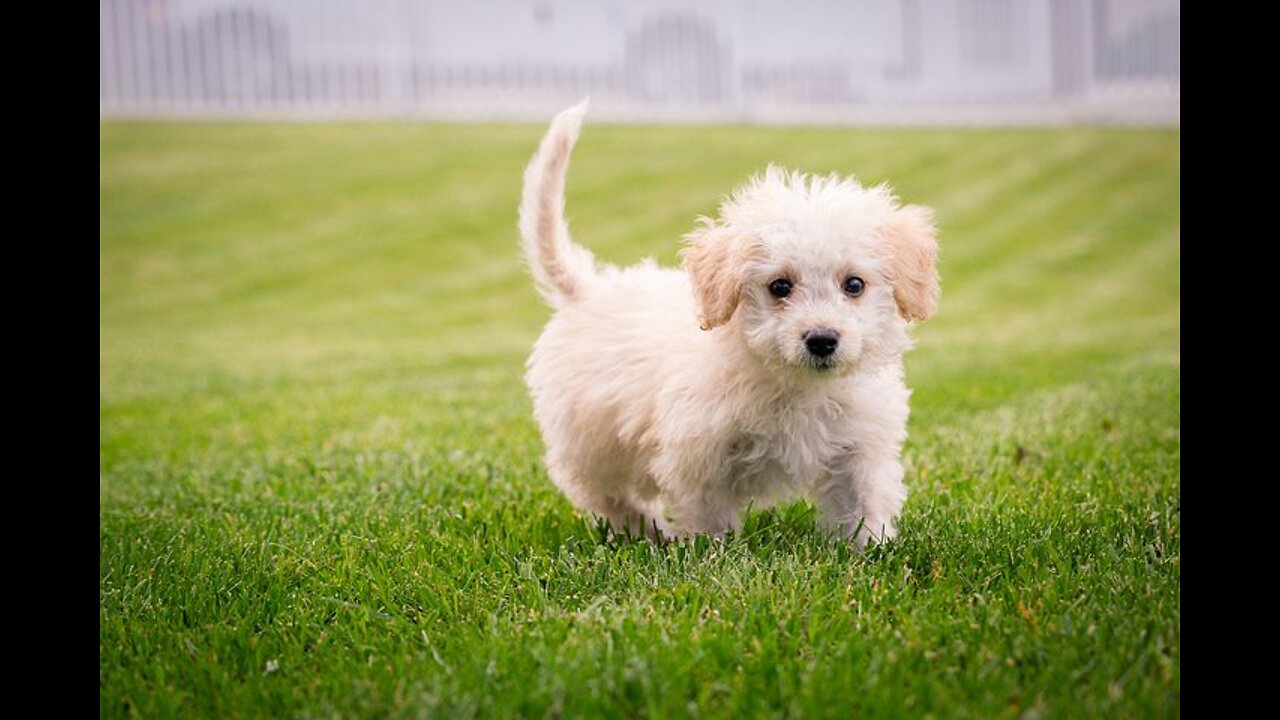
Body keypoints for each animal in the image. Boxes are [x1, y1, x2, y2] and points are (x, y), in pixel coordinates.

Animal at [519, 101, 942, 545]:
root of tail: (588, 288)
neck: (794, 385)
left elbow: (862, 506)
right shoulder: (699, 457)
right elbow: (710, 518)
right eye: (780, 286)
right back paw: (648, 531)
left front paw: (870, 548)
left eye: (854, 284)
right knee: (607, 494)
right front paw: (711, 552)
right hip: (591, 442)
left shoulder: (858, 449)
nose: (822, 339)